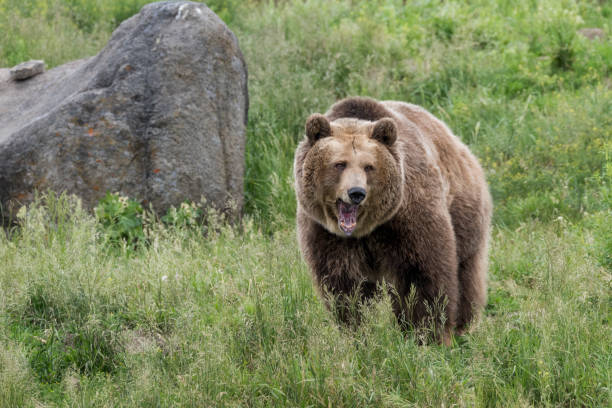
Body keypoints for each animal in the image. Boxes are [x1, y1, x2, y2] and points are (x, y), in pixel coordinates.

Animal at [292, 97, 492, 342]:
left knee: (466, 272)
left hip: (464, 213)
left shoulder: (407, 218)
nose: (356, 193)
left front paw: (427, 333)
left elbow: (422, 275)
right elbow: (345, 286)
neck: (366, 229)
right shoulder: (326, 233)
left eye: (369, 166)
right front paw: (357, 331)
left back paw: (463, 325)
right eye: (339, 164)